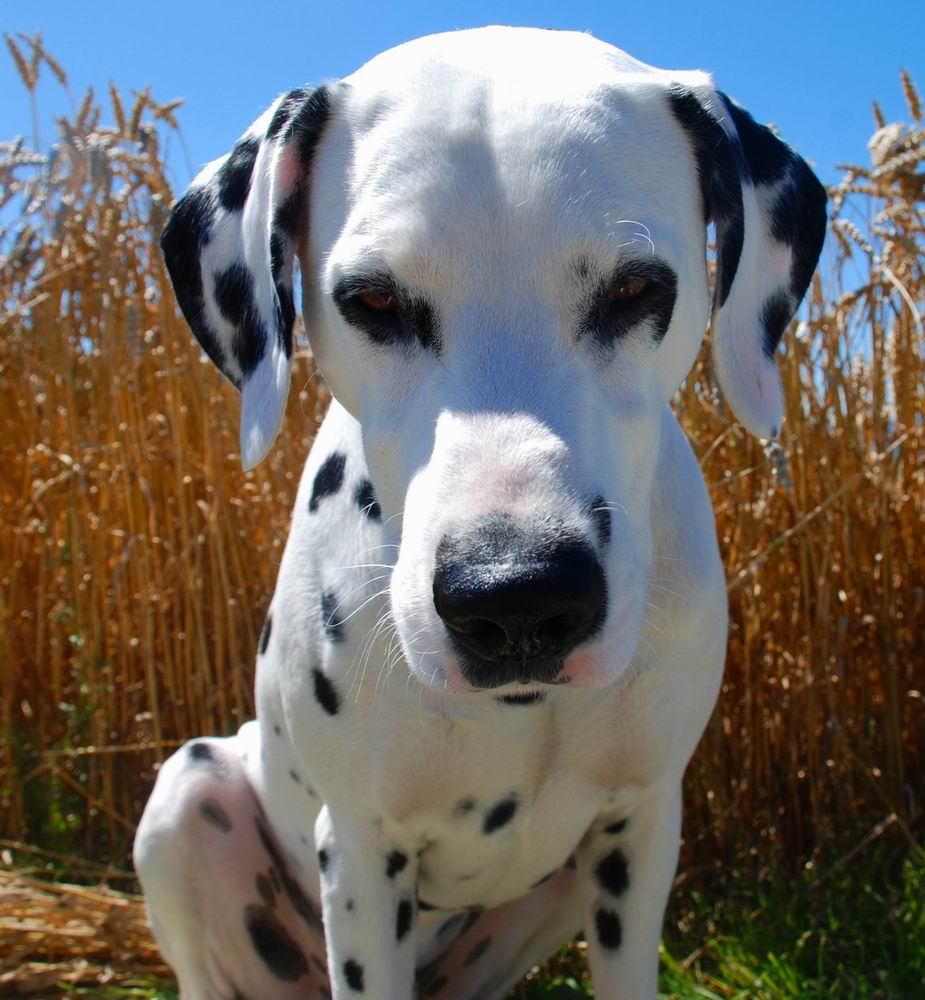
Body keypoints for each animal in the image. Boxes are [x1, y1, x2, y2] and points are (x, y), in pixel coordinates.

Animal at [134, 27, 828, 1000]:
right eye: (372, 299)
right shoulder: (361, 856)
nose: (516, 598)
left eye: (635, 290)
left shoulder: (639, 828)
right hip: (187, 794)